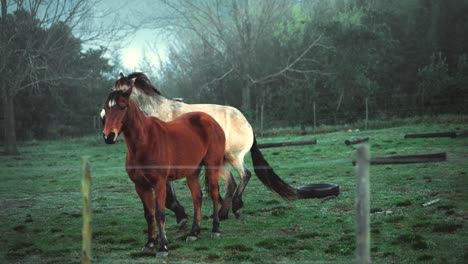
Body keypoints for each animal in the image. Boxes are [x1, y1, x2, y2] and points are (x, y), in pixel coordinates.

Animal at [100, 87, 225, 256]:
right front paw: (150, 242)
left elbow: (159, 213)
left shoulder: (159, 184)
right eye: (106, 109)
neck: (145, 143)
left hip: (213, 167)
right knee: (197, 197)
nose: (108, 136)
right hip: (192, 172)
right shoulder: (141, 186)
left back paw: (215, 229)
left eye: (122, 106)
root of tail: (211, 120)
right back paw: (194, 233)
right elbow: (149, 214)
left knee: (214, 194)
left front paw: (163, 246)